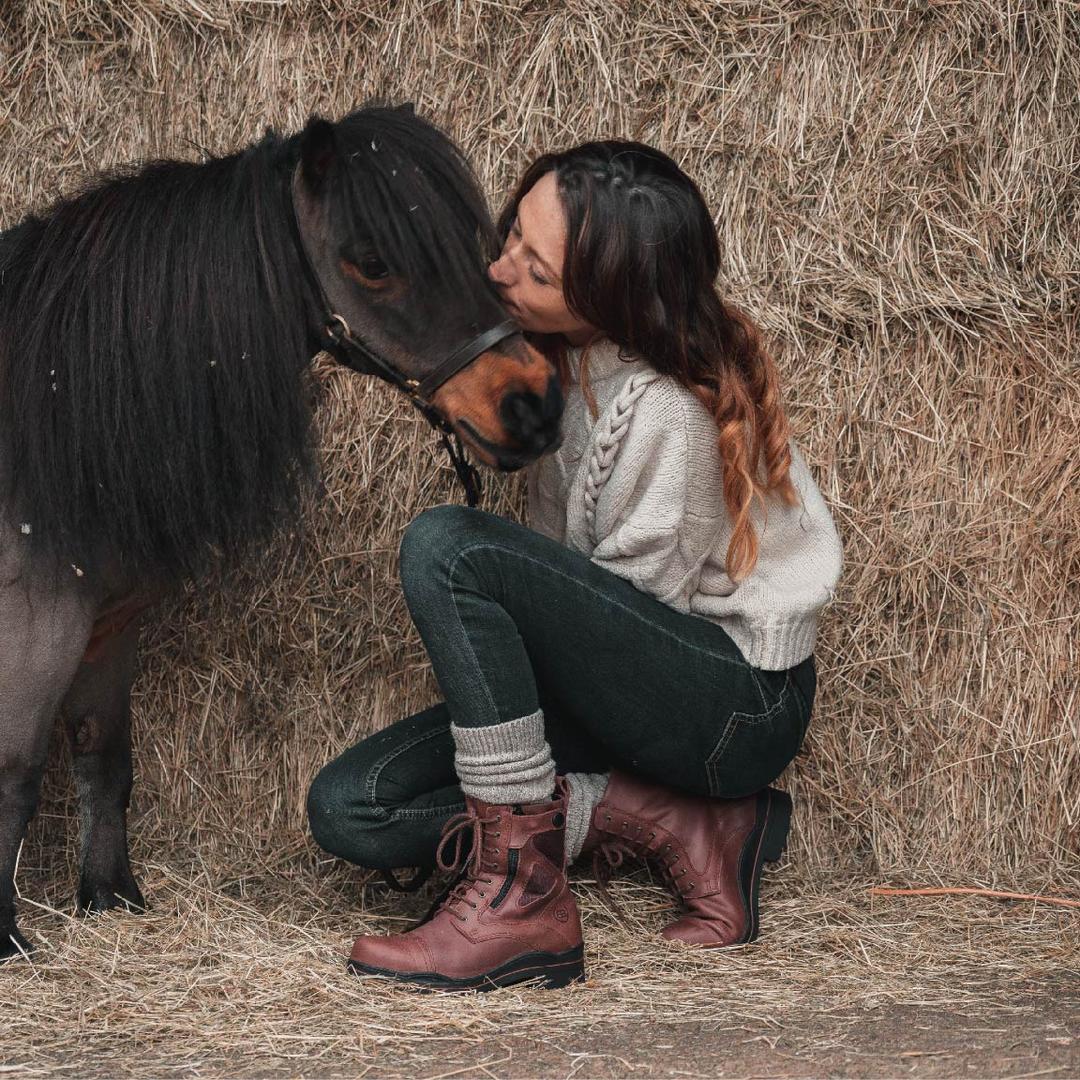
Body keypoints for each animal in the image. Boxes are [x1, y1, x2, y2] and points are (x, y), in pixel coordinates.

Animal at [2, 105, 565, 959]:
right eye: (370, 261)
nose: (531, 405)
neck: (53, 403)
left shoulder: (107, 625)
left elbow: (105, 756)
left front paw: (111, 898)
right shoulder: (37, 619)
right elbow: (16, 774)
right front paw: (7, 938)